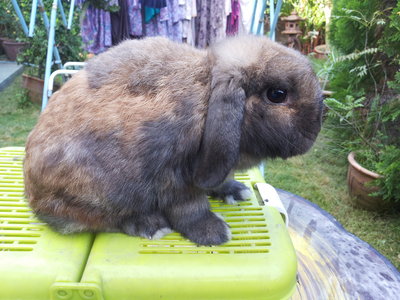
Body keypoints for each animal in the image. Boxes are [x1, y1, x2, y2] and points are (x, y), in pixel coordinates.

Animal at [23, 35, 324, 246]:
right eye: (277, 94)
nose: (317, 127)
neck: (207, 93)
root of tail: (32, 196)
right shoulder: (175, 177)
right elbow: (190, 209)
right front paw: (215, 233)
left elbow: (218, 183)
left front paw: (235, 191)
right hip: (100, 192)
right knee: (100, 220)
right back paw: (150, 225)